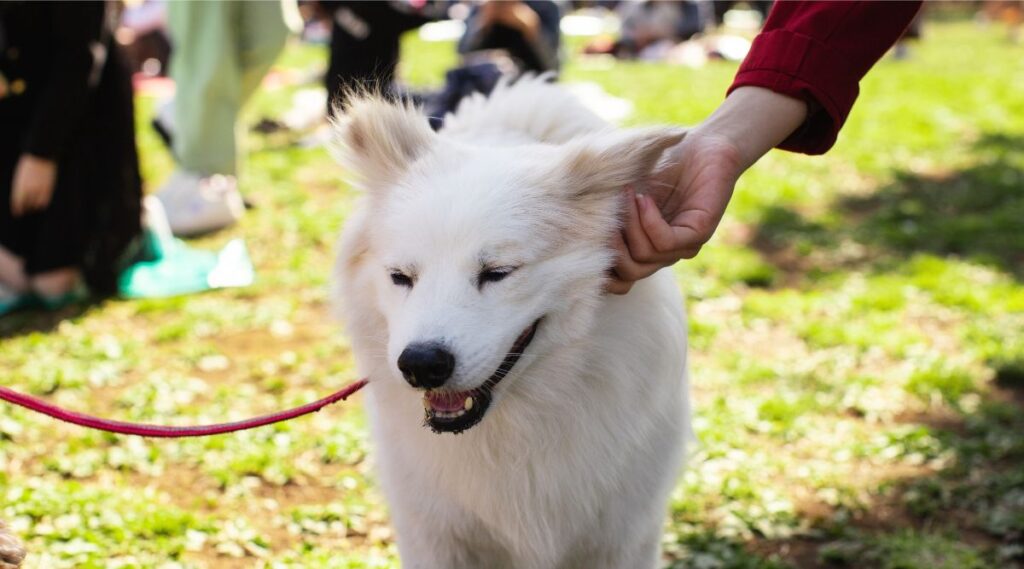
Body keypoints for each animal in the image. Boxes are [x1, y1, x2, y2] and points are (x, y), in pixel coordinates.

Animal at [331, 76, 692, 569]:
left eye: (497, 273)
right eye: (400, 277)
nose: (420, 364)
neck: (516, 430)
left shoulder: (623, 537)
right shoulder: (432, 535)